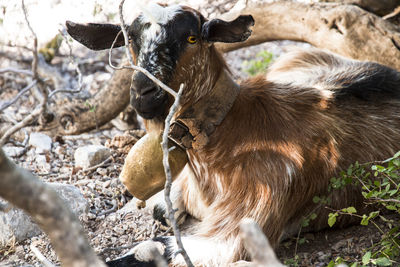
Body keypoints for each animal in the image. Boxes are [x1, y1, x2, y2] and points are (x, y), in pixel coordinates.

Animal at [67, 3, 400, 266]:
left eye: (191, 37)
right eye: (131, 39)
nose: (143, 93)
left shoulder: (242, 225)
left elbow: (152, 247)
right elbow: (162, 211)